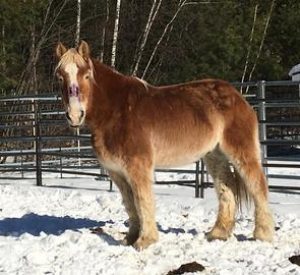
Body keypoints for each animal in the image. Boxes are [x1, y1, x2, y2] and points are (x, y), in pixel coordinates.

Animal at [55, 41, 274, 252]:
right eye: (60, 77)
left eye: (86, 75)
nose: (75, 115)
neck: (116, 111)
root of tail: (238, 97)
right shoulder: (116, 171)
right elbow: (130, 204)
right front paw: (130, 238)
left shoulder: (137, 167)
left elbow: (142, 201)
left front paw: (145, 241)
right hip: (214, 154)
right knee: (225, 186)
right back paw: (218, 233)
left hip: (241, 151)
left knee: (258, 185)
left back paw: (263, 235)